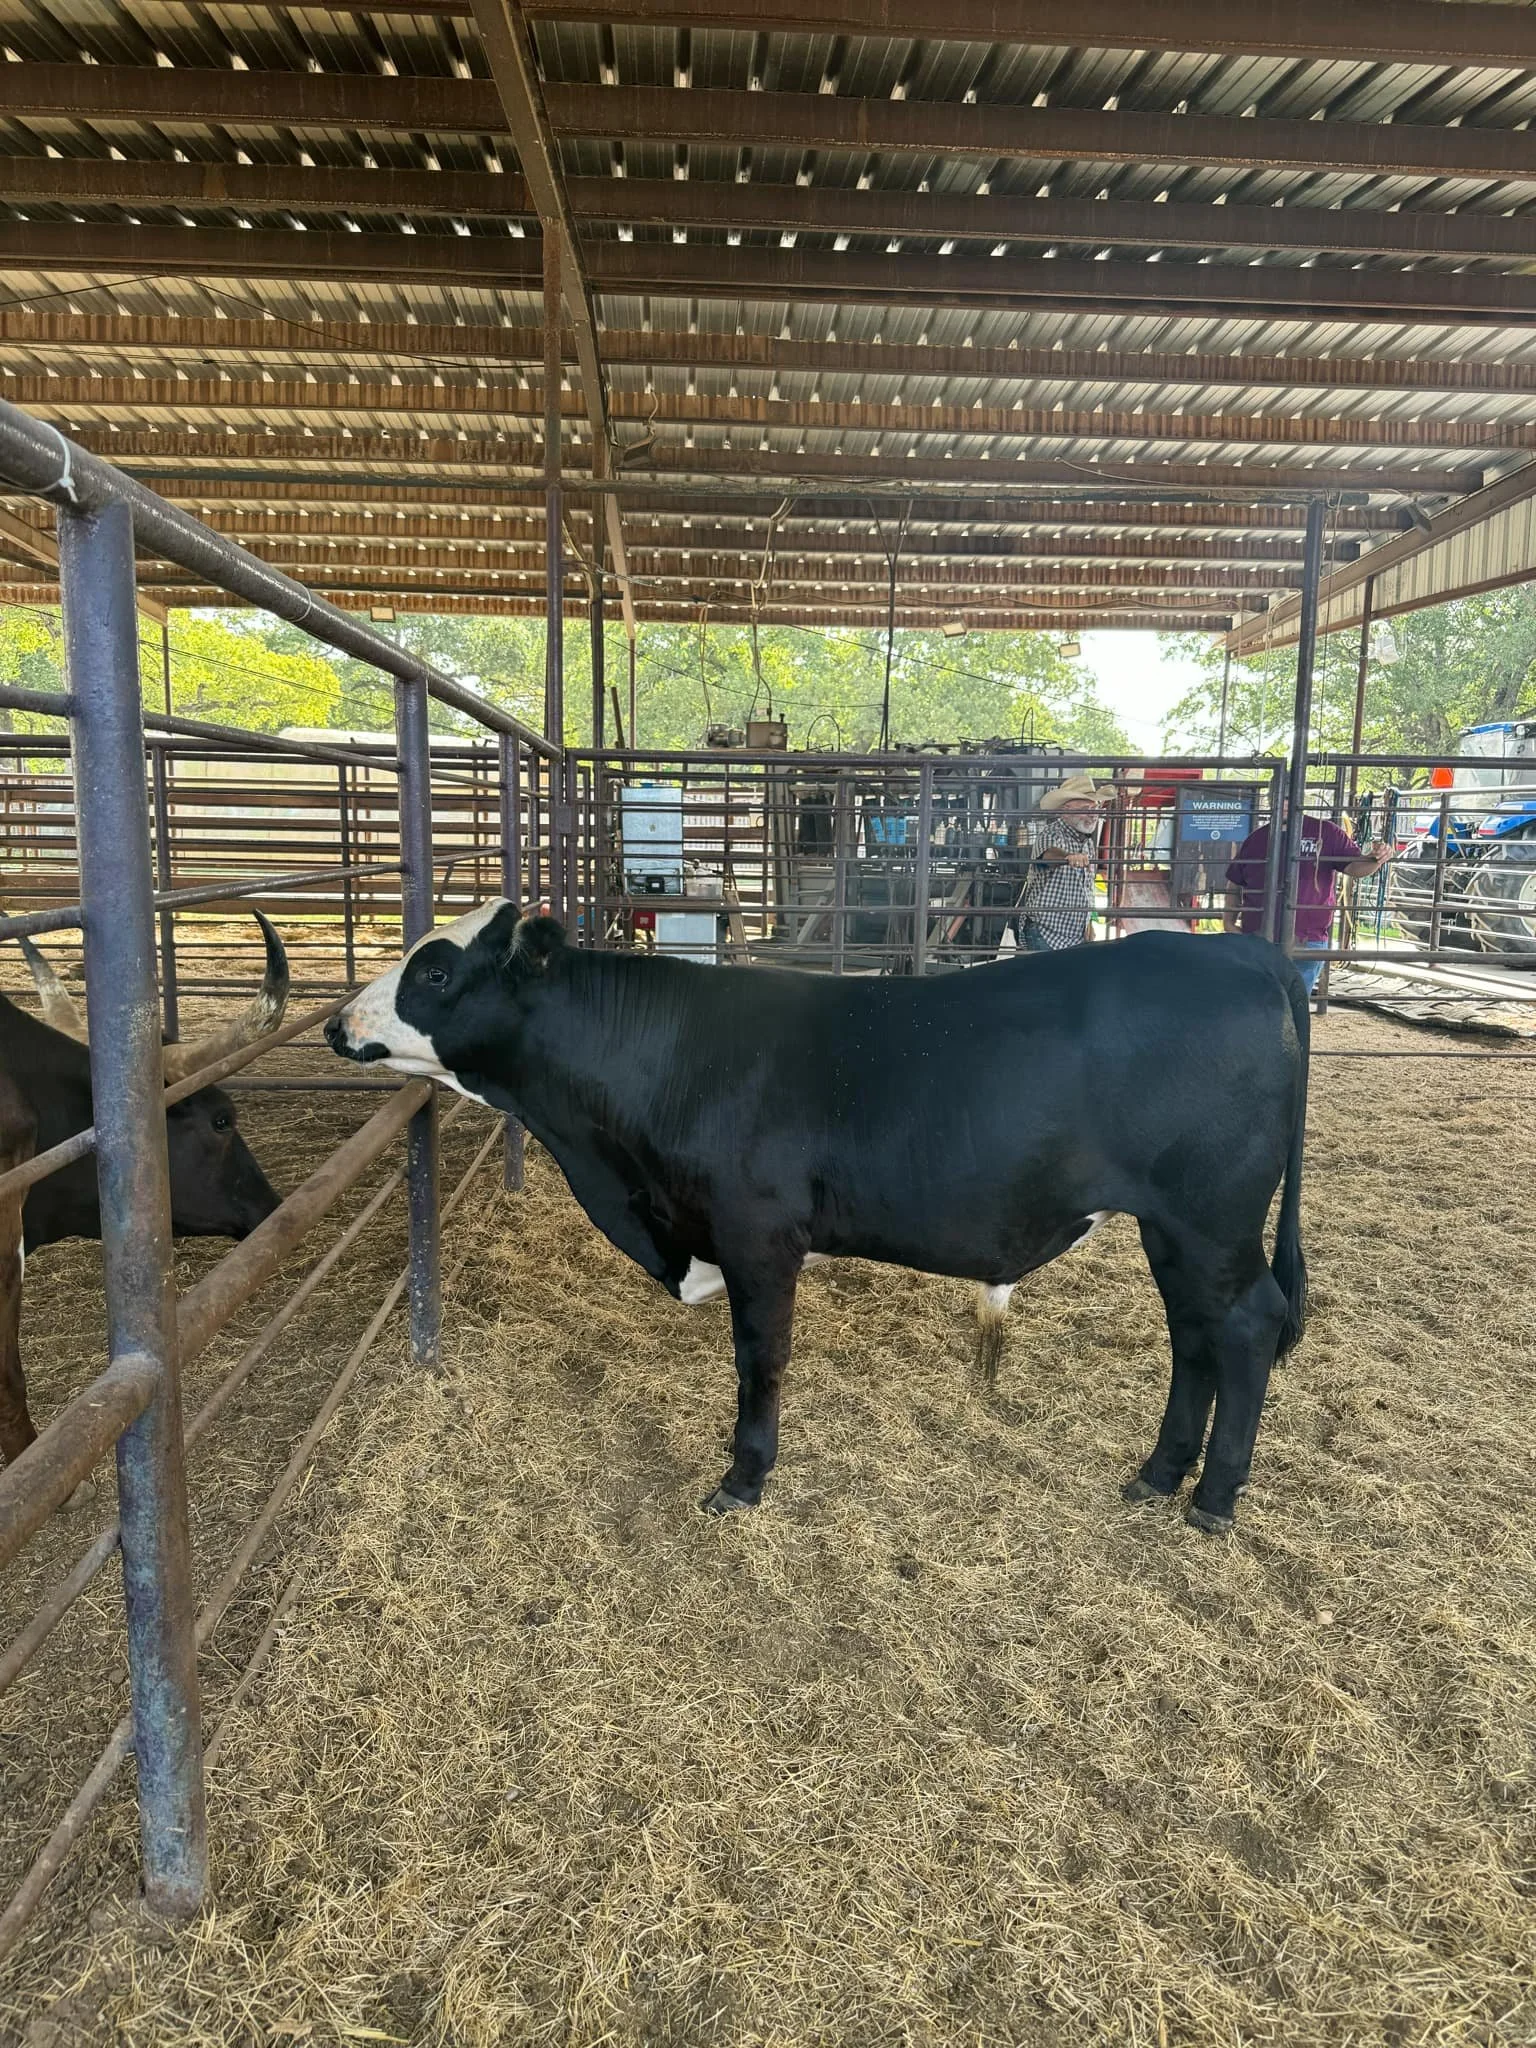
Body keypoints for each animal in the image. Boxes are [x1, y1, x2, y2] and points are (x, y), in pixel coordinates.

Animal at [326, 902, 1309, 1534]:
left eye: (436, 969)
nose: (337, 1023)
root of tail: (1243, 950)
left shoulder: (758, 1236)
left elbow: (760, 1358)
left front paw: (742, 1479)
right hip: (1174, 1230)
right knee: (1193, 1336)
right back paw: (1157, 1475)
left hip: (1209, 1218)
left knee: (1246, 1326)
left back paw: (1213, 1501)